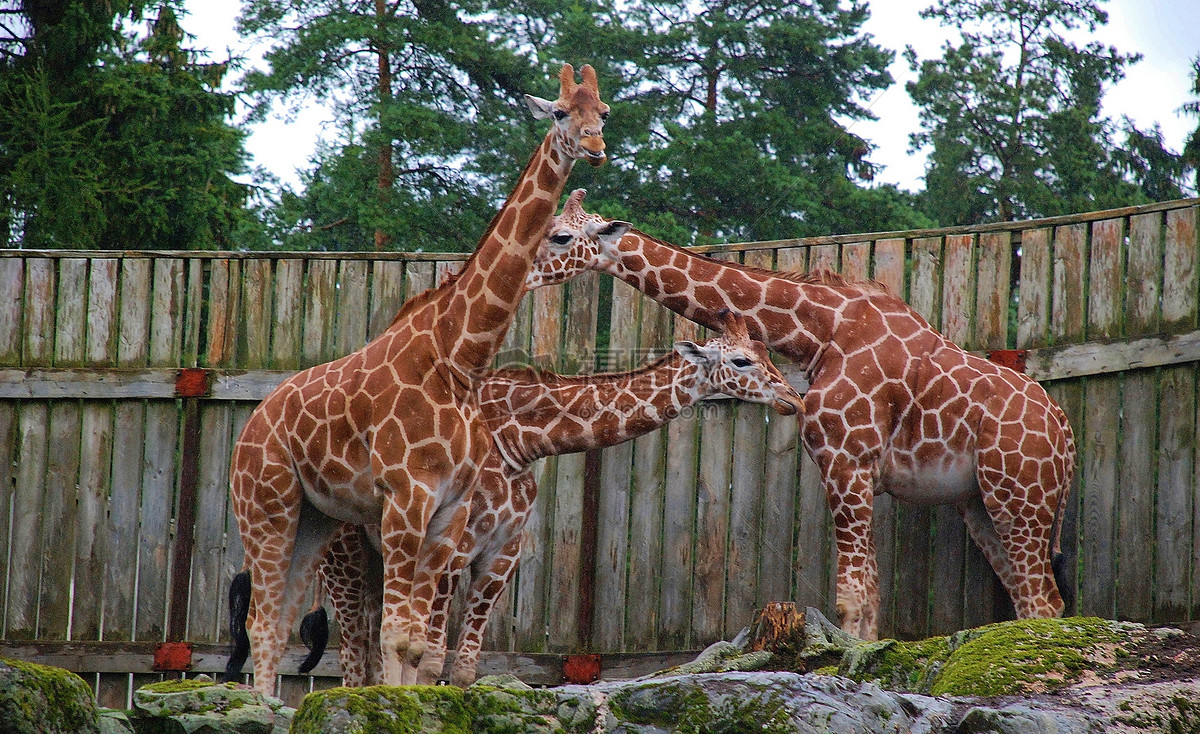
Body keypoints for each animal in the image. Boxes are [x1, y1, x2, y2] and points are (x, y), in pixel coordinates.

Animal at [226, 64, 609, 695]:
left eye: (602, 112)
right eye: (558, 111)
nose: (596, 146)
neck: (459, 358)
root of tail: (251, 424)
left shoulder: (450, 512)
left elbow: (416, 644)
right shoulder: (407, 498)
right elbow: (397, 637)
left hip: (315, 519)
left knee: (278, 621)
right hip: (266, 504)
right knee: (261, 618)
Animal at [241, 309, 806, 686]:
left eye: (768, 355)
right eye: (742, 360)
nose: (793, 399)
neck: (520, 440)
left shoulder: (502, 554)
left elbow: (462, 667)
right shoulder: (456, 549)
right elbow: (431, 659)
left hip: (379, 555)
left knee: (375, 637)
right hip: (340, 555)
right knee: (354, 644)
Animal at [525, 189, 1080, 642]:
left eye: (560, 235)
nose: (521, 271)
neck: (822, 331)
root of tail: (1066, 436)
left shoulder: (846, 461)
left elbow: (854, 596)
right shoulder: (851, 470)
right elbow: (866, 593)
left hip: (1021, 496)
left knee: (1041, 600)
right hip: (981, 503)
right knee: (1034, 598)